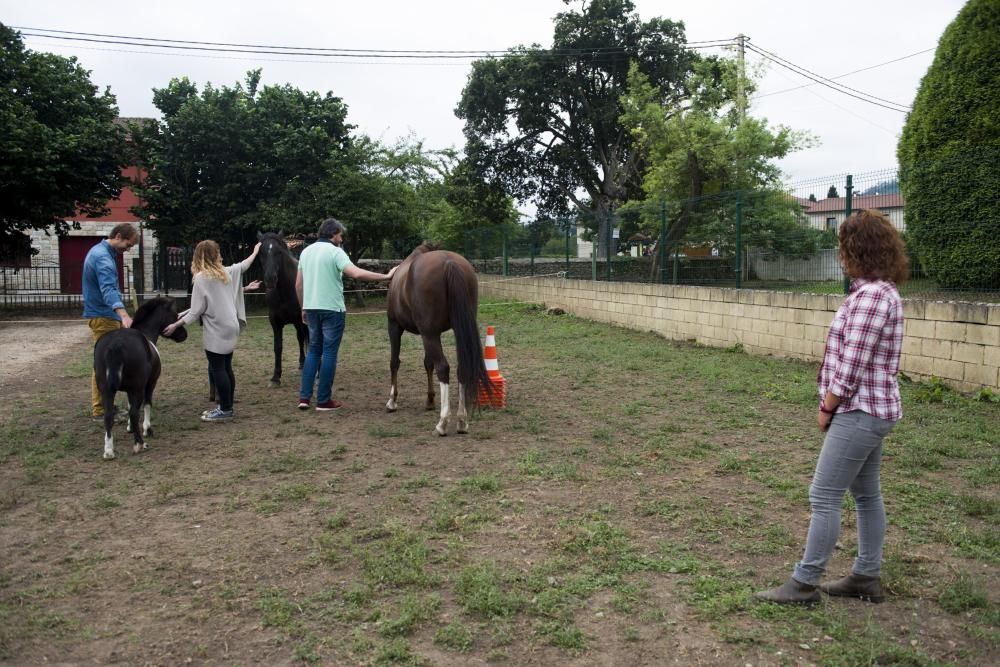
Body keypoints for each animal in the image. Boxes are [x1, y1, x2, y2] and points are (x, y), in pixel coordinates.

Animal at [94, 298, 188, 460]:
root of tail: (115, 344)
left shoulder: (128, 390)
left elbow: (129, 405)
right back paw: (139, 444)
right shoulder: (149, 384)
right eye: (175, 315)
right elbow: (146, 404)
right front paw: (147, 429)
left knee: (108, 415)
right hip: (137, 387)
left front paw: (130, 428)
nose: (184, 335)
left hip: (106, 389)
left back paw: (109, 451)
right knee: (134, 412)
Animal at [256, 231, 306, 386]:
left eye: (279, 252)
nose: (270, 279)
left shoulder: (299, 319)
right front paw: (275, 377)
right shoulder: (275, 322)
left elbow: (303, 339)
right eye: (261, 252)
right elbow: (277, 347)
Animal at [384, 243, 490, 436]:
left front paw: (392, 402)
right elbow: (428, 364)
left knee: (443, 368)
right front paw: (430, 400)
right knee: (460, 367)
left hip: (428, 334)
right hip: (449, 331)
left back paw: (442, 423)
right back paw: (462, 421)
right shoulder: (431, 333)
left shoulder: (395, 326)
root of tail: (448, 262)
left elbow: (394, 362)